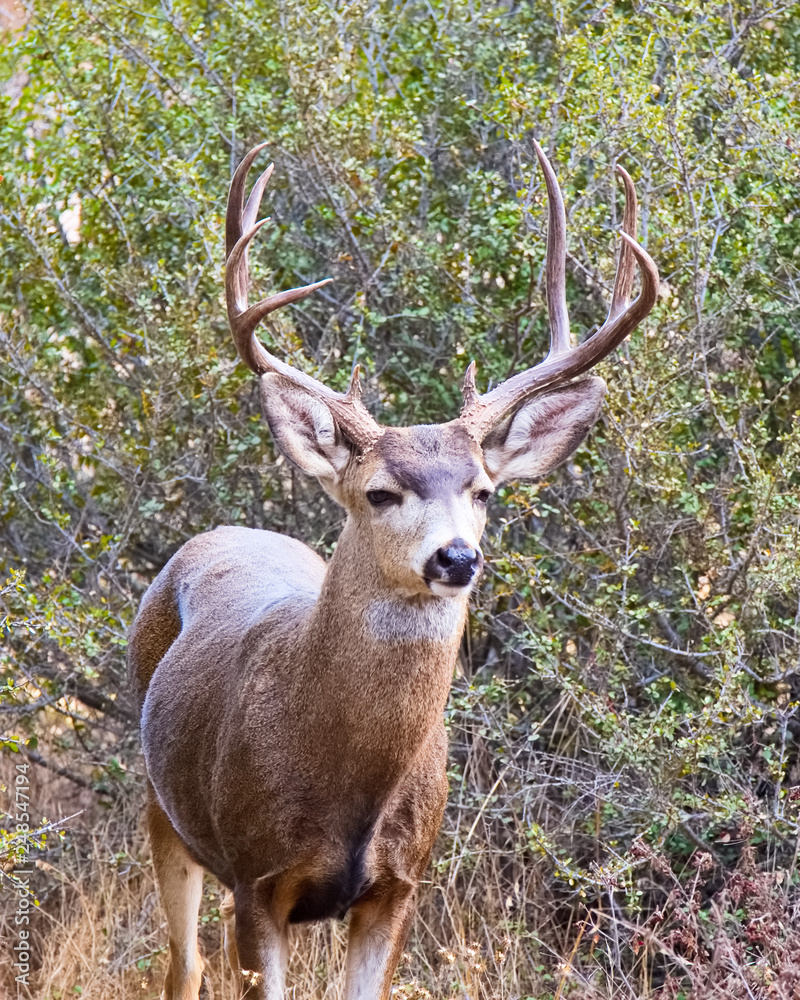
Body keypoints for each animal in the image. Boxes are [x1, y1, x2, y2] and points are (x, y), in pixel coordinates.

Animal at [128, 140, 658, 1000]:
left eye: (482, 490)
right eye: (380, 491)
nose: (456, 556)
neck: (346, 773)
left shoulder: (400, 884)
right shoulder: (256, 878)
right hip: (159, 802)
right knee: (184, 963)